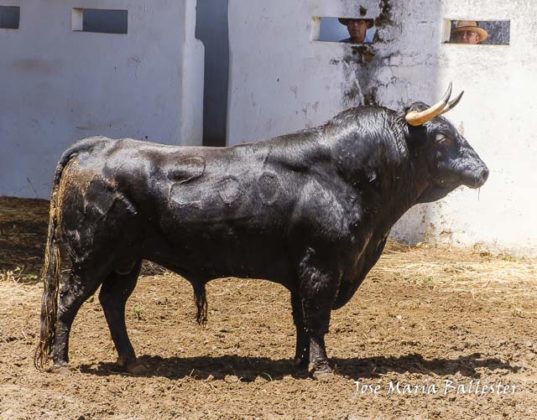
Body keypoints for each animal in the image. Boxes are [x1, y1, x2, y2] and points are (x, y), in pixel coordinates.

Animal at [33, 100, 486, 376]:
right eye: (442, 137)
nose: (482, 170)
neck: (348, 175)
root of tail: (100, 146)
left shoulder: (303, 270)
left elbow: (302, 319)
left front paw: (300, 363)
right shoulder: (322, 266)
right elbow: (317, 318)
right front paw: (322, 368)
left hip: (126, 261)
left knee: (113, 303)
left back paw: (132, 361)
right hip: (89, 255)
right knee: (68, 302)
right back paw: (61, 362)